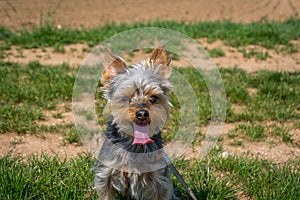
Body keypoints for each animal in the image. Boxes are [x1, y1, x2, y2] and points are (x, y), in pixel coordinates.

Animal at [92, 46, 175, 199]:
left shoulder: (161, 181)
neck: (133, 145)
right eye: (126, 98)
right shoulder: (105, 174)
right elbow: (106, 194)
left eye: (153, 98)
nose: (142, 113)